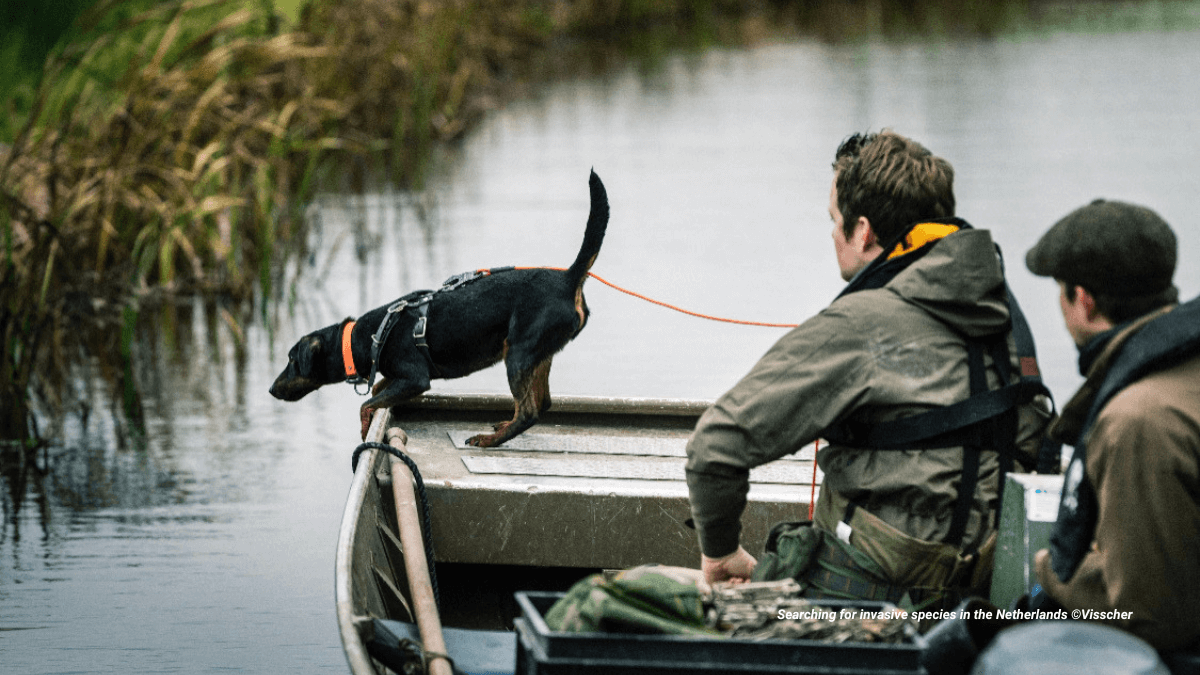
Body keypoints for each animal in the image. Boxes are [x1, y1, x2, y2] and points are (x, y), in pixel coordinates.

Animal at [272, 169, 609, 441]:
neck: (362, 338)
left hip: (518, 352)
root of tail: (569, 277)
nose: (271, 389)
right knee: (542, 402)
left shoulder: (415, 378)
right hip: (538, 355)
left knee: (529, 411)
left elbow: (366, 403)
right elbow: (378, 393)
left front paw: (365, 425)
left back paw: (488, 440)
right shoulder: (400, 379)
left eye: (292, 360)